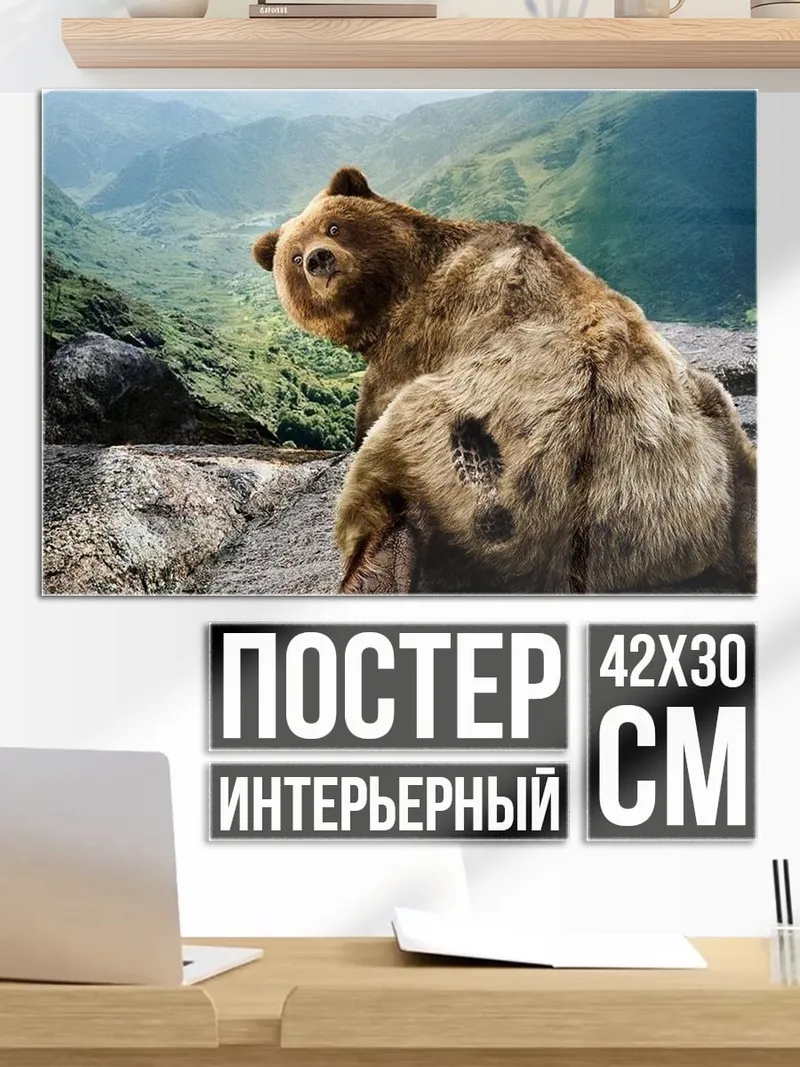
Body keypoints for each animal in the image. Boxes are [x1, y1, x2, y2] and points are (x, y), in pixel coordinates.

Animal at [254, 166, 757, 595]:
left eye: (334, 227)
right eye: (293, 256)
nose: (318, 260)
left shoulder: (424, 332)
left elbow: (374, 405)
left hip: (468, 433)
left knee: (386, 466)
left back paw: (374, 569)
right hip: (704, 434)